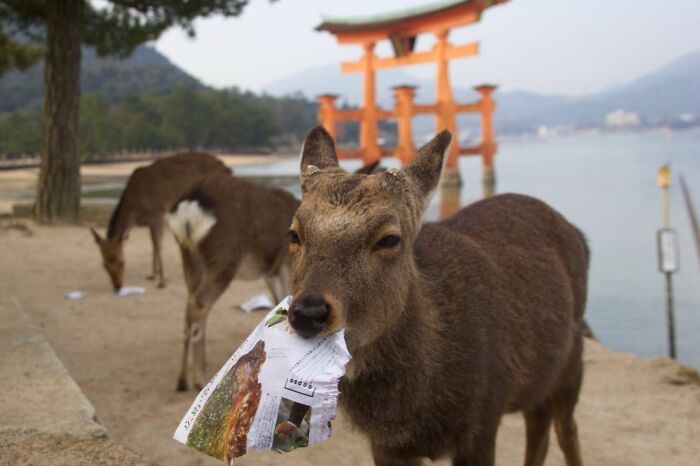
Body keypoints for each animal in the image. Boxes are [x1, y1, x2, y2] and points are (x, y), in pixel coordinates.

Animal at [90, 152, 230, 291]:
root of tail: (227, 169)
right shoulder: (151, 221)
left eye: (122, 262)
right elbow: (154, 244)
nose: (117, 286)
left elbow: (157, 244)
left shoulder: (157, 214)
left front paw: (162, 281)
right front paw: (153, 275)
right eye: (104, 264)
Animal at [167, 161, 382, 392]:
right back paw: (199, 378)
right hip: (224, 257)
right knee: (198, 304)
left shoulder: (272, 270)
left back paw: (182, 379)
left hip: (189, 258)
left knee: (187, 305)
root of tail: (190, 207)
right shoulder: (288, 265)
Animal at [286, 127, 589, 466]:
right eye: (294, 233)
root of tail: (577, 234)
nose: (308, 313)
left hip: (573, 356)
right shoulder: (386, 444)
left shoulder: (483, 417)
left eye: (389, 238)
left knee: (565, 429)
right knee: (539, 423)